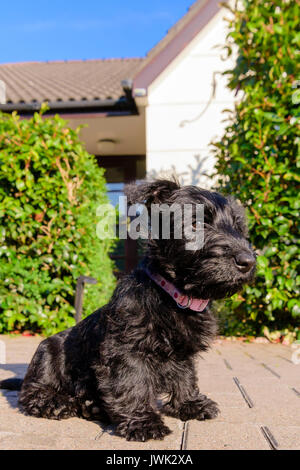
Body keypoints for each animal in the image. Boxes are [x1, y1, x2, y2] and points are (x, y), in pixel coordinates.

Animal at [0, 180, 255, 440]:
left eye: (238, 227)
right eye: (196, 223)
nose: (249, 261)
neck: (172, 296)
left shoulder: (183, 353)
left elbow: (186, 377)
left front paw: (190, 404)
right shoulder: (127, 349)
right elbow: (133, 384)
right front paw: (143, 423)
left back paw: (91, 406)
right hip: (47, 352)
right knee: (31, 391)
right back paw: (54, 402)